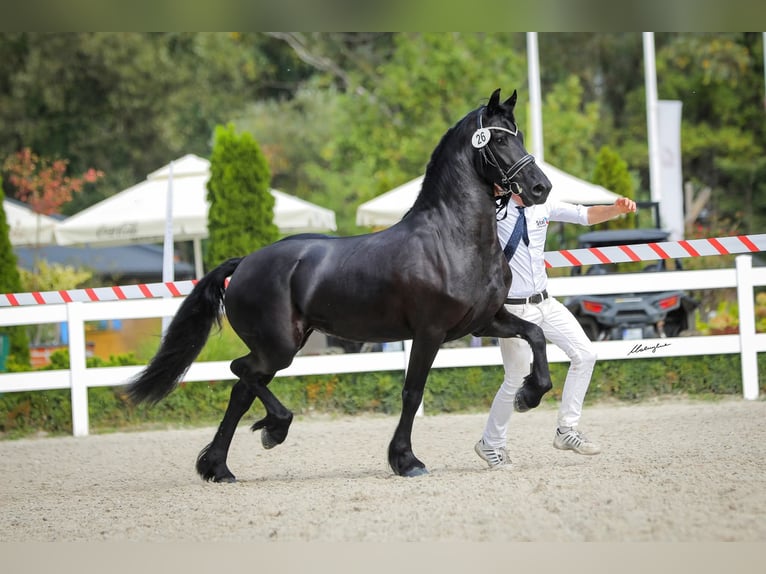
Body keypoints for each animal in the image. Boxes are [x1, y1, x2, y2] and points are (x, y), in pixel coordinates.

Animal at [126, 87, 553, 481]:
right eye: (499, 139)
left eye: (519, 135)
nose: (541, 188)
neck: (453, 239)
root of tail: (244, 262)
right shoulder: (429, 332)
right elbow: (412, 392)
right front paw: (406, 461)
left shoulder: (485, 321)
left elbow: (535, 335)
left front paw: (529, 394)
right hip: (279, 346)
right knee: (240, 371)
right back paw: (272, 430)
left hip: (281, 345)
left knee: (243, 388)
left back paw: (219, 467)